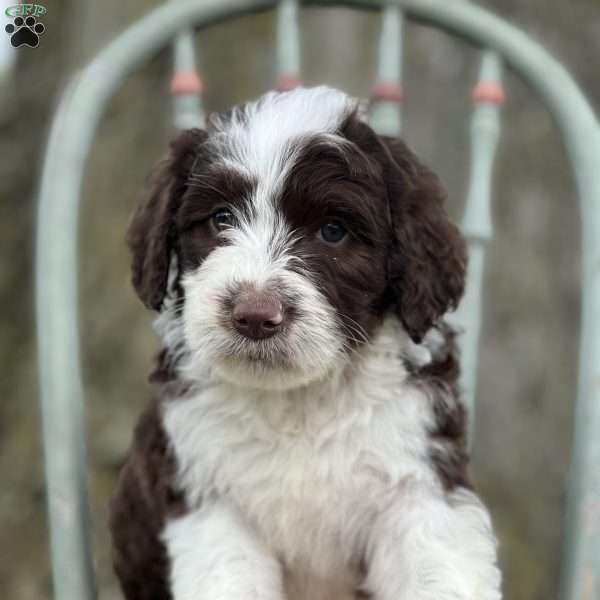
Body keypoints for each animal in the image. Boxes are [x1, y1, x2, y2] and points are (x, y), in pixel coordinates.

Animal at [109, 85, 502, 600]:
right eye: (220, 219)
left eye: (333, 231)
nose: (255, 316)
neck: (298, 401)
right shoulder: (212, 504)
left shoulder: (418, 485)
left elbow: (438, 572)